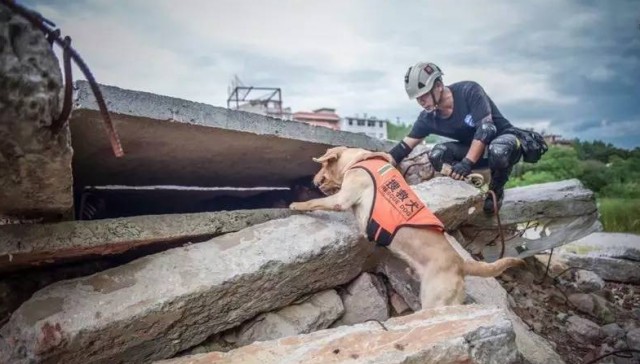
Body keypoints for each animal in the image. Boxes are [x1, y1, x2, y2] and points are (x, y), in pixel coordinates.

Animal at [290, 146, 524, 308]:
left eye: (322, 166)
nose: (312, 181)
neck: (361, 160)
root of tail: (462, 264)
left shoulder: (342, 198)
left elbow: (314, 202)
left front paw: (296, 205)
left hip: (434, 300)